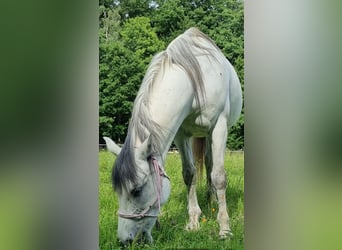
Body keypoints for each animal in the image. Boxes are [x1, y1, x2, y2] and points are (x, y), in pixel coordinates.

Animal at [104, 26, 243, 244]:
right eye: (117, 191)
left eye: (137, 190)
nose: (126, 241)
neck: (195, 83)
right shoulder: (181, 133)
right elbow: (189, 174)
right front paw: (193, 222)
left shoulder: (219, 127)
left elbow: (219, 176)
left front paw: (224, 229)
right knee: (207, 162)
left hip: (211, 133)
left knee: (212, 166)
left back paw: (213, 201)